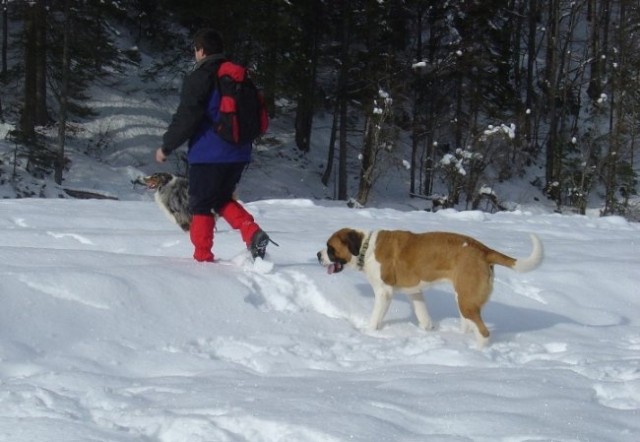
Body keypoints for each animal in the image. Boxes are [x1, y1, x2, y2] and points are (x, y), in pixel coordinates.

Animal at [318, 228, 544, 348]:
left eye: (330, 248)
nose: (318, 255)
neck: (365, 248)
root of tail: (483, 249)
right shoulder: (415, 291)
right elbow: (423, 314)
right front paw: (427, 330)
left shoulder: (384, 293)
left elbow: (375, 319)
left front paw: (368, 333)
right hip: (464, 299)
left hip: (466, 301)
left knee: (484, 332)